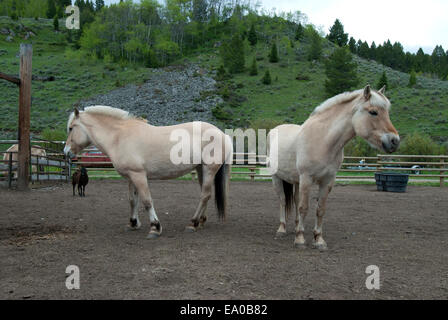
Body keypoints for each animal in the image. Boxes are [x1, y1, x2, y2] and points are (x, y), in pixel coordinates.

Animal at [65, 106, 233, 239]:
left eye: (71, 128)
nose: (66, 152)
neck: (119, 137)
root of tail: (222, 134)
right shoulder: (131, 177)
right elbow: (133, 200)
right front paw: (133, 223)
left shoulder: (138, 175)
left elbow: (147, 201)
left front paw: (155, 227)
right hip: (200, 169)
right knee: (206, 195)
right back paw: (200, 221)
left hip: (209, 169)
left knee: (205, 195)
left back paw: (193, 223)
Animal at [268, 86, 400, 251]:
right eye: (373, 112)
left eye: (387, 112)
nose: (395, 141)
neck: (323, 140)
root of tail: (274, 130)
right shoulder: (306, 178)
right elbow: (304, 208)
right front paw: (300, 239)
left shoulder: (328, 181)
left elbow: (320, 209)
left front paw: (319, 240)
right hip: (277, 178)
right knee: (283, 201)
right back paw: (282, 229)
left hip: (296, 182)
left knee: (295, 201)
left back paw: (296, 226)